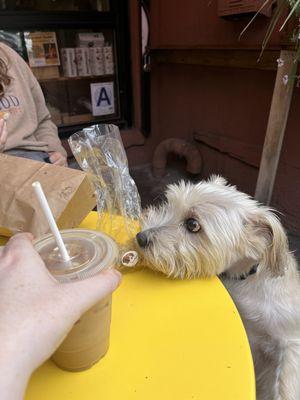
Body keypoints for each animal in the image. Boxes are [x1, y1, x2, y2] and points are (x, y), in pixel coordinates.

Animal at [135, 177, 300, 400]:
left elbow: (286, 382)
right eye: (168, 204)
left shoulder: (290, 340)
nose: (140, 237)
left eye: (193, 224)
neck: (245, 279)